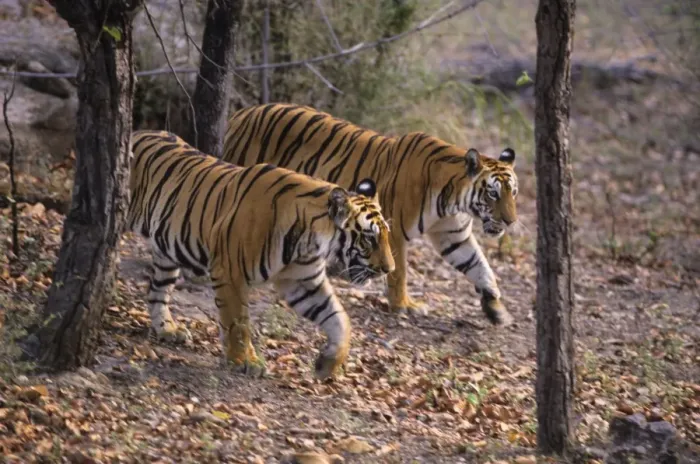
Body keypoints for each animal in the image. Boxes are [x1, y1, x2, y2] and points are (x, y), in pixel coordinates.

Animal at [126, 130, 395, 380]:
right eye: (369, 238)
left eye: (385, 235)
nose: (389, 269)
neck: (310, 241)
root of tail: (137, 132)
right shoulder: (229, 271)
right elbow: (237, 322)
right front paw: (244, 361)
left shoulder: (303, 282)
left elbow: (339, 319)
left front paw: (327, 365)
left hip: (166, 253)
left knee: (158, 291)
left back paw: (167, 330)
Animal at [221, 103, 519, 326]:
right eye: (493, 194)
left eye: (513, 193)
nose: (511, 221)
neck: (454, 199)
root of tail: (240, 114)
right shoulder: (395, 230)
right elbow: (399, 272)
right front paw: (404, 306)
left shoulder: (453, 234)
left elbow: (479, 265)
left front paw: (496, 307)